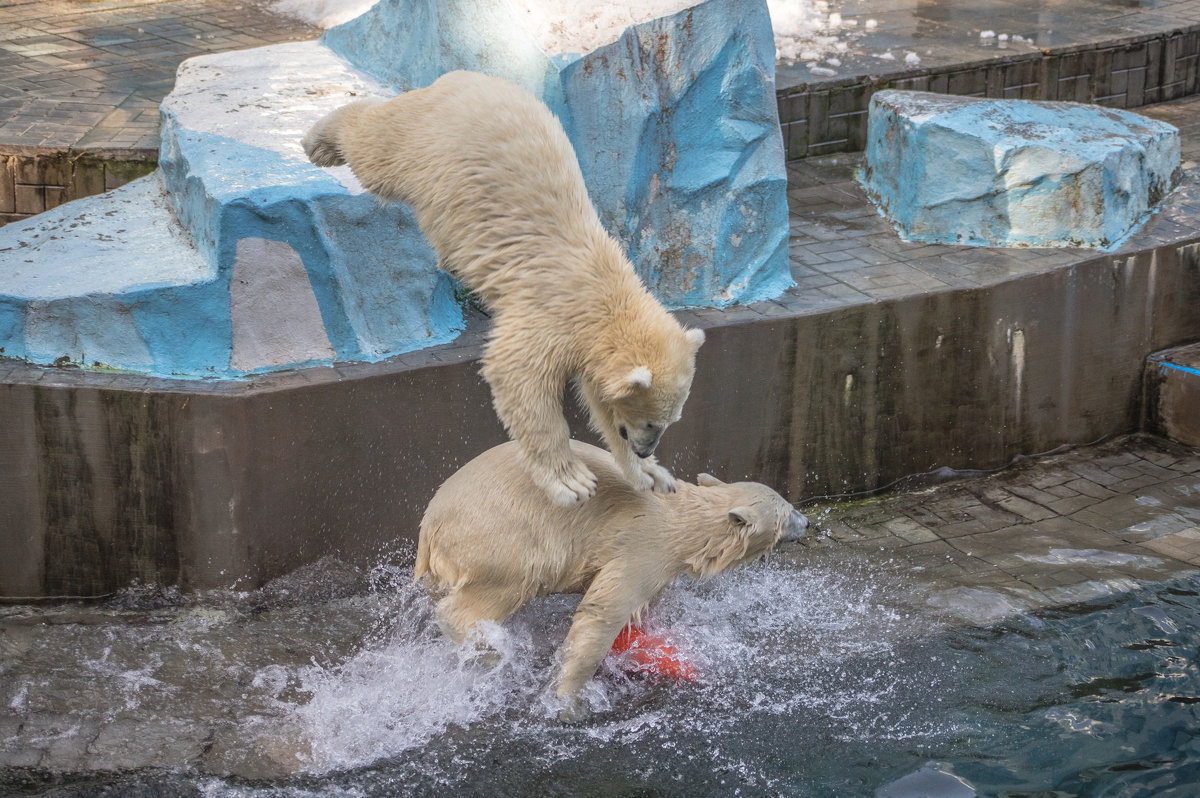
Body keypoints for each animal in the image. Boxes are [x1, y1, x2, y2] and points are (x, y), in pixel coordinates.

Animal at [298, 69, 700, 504]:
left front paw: (653, 475)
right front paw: (572, 482)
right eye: (650, 421)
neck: (605, 294)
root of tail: (463, 78)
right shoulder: (551, 312)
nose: (645, 448)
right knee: (377, 149)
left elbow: (597, 401)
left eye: (671, 420)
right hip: (431, 145)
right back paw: (319, 142)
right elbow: (518, 374)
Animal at [412, 439, 806, 720]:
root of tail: (430, 522)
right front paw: (569, 702)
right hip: (501, 538)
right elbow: (603, 612)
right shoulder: (642, 545)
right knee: (496, 589)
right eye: (787, 512)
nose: (806, 523)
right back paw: (491, 653)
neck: (684, 522)